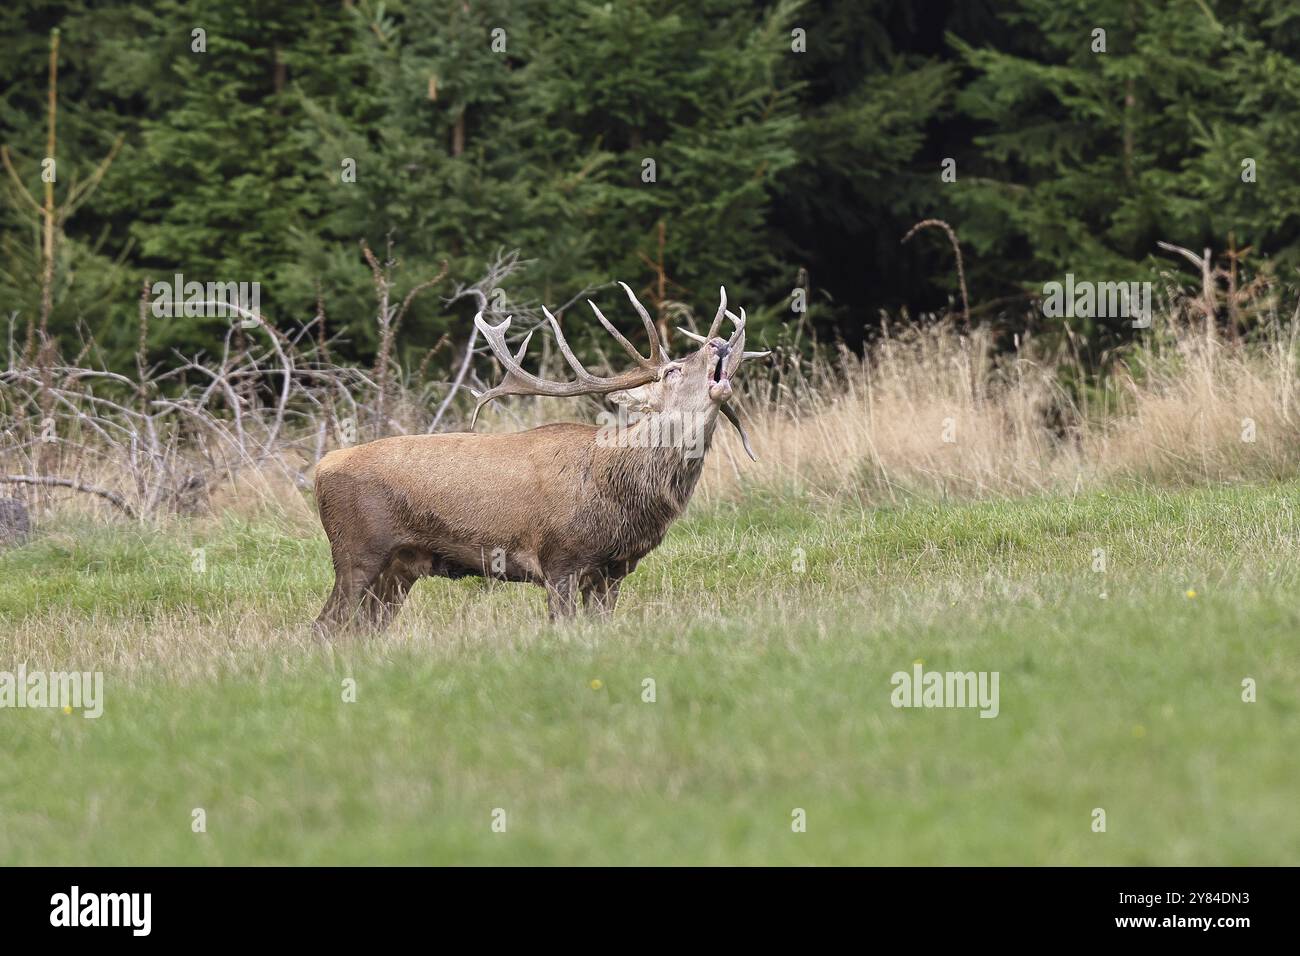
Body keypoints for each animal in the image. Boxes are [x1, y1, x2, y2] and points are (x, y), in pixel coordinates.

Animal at [312, 282, 767, 633]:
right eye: (672, 370)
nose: (719, 342)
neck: (621, 493)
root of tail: (320, 469)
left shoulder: (614, 570)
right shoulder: (560, 558)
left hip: (399, 568)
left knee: (362, 629)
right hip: (357, 551)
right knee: (326, 626)